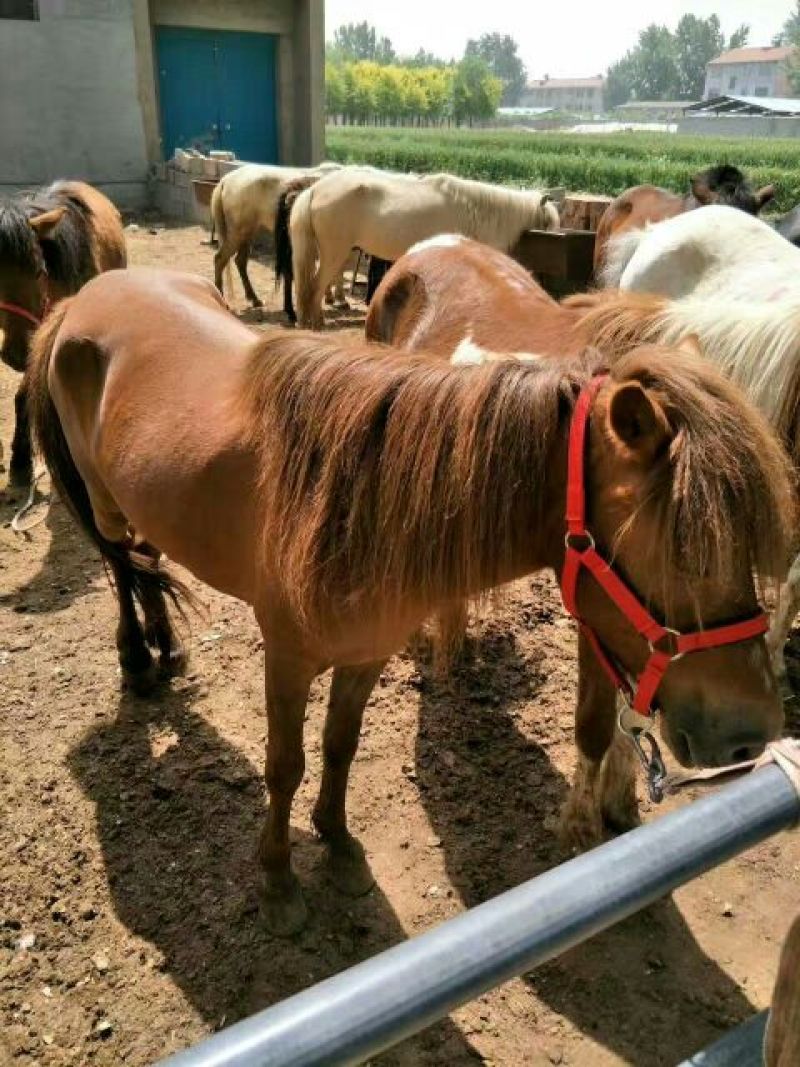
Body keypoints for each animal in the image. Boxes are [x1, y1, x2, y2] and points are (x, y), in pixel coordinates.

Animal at [28, 267, 792, 935]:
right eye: (687, 546)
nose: (752, 730)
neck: (358, 499)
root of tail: (84, 297)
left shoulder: (366, 654)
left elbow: (339, 747)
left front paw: (338, 845)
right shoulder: (287, 660)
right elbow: (284, 766)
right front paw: (277, 882)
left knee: (146, 561)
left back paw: (169, 649)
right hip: (103, 504)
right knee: (123, 569)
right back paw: (138, 660)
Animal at [210, 161, 342, 308]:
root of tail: (225, 180)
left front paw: (330, 296)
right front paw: (339, 299)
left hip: (248, 232)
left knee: (240, 261)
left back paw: (254, 299)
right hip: (238, 232)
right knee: (220, 259)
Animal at [290, 167, 559, 329]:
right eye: (549, 224)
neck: (475, 211)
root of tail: (315, 189)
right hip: (335, 253)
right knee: (314, 287)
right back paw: (314, 324)